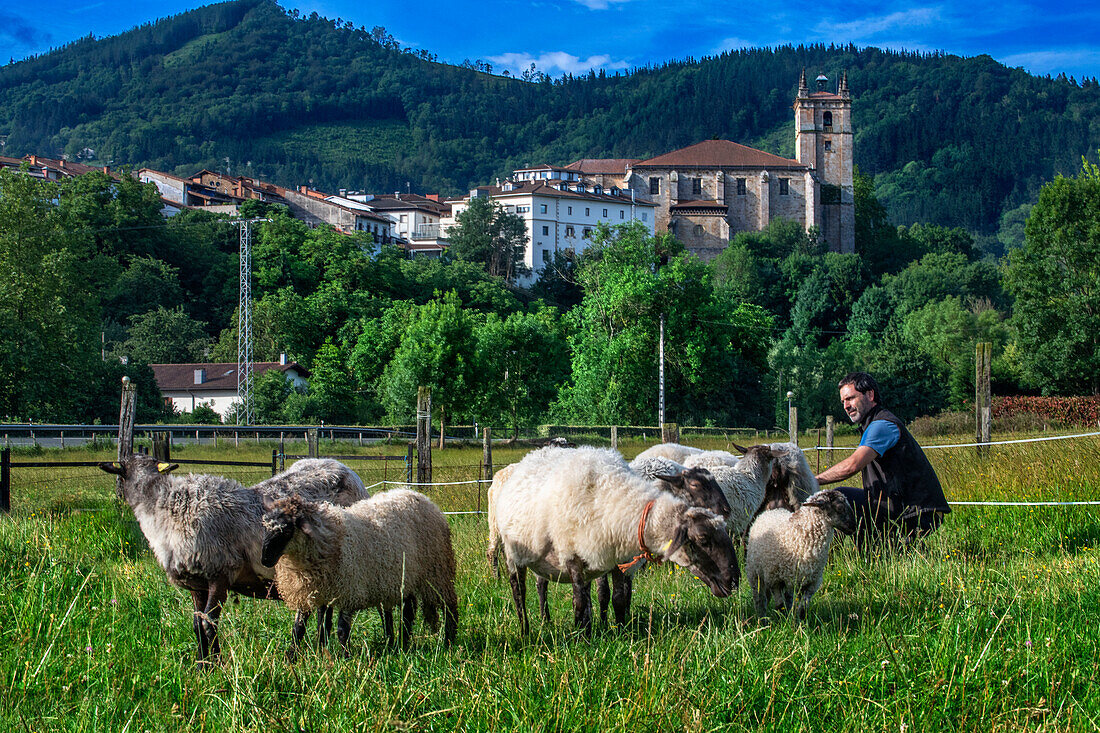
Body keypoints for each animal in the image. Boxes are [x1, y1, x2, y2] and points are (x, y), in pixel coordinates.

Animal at [97, 453, 369, 660]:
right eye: (125, 470)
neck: (165, 508)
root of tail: (346, 470)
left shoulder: (219, 575)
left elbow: (209, 624)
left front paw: (215, 665)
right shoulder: (197, 583)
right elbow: (196, 625)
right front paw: (202, 664)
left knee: (312, 612)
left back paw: (297, 654)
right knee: (322, 609)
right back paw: (318, 648)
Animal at [259, 488, 457, 651]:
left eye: (286, 531)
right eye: (266, 526)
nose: (265, 559)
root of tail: (419, 495)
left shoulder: (349, 589)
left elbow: (341, 629)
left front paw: (343, 658)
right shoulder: (314, 591)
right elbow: (303, 627)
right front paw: (300, 656)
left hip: (437, 570)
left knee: (449, 605)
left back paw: (449, 641)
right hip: (405, 576)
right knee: (409, 609)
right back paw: (401, 643)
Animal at [743, 488, 853, 620]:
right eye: (840, 508)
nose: (853, 527)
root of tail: (772, 511)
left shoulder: (810, 583)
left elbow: (802, 610)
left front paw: (799, 624)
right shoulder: (775, 580)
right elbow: (780, 606)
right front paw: (783, 623)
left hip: (789, 580)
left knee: (787, 599)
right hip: (756, 574)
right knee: (760, 600)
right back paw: (762, 619)